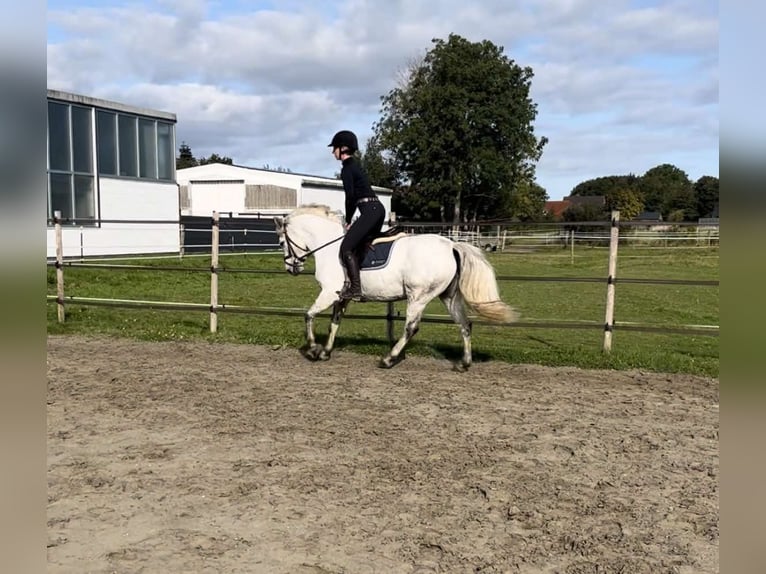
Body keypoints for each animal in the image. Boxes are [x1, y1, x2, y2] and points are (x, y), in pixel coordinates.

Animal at [272, 205, 520, 372]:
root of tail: (451, 245)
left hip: (418, 296)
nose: (291, 268)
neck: (330, 247)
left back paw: (388, 359)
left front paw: (313, 348)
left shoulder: (328, 293)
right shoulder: (341, 297)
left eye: (282, 242)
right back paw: (464, 363)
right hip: (448, 297)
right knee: (465, 324)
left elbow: (309, 315)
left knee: (411, 328)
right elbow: (334, 323)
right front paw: (325, 352)